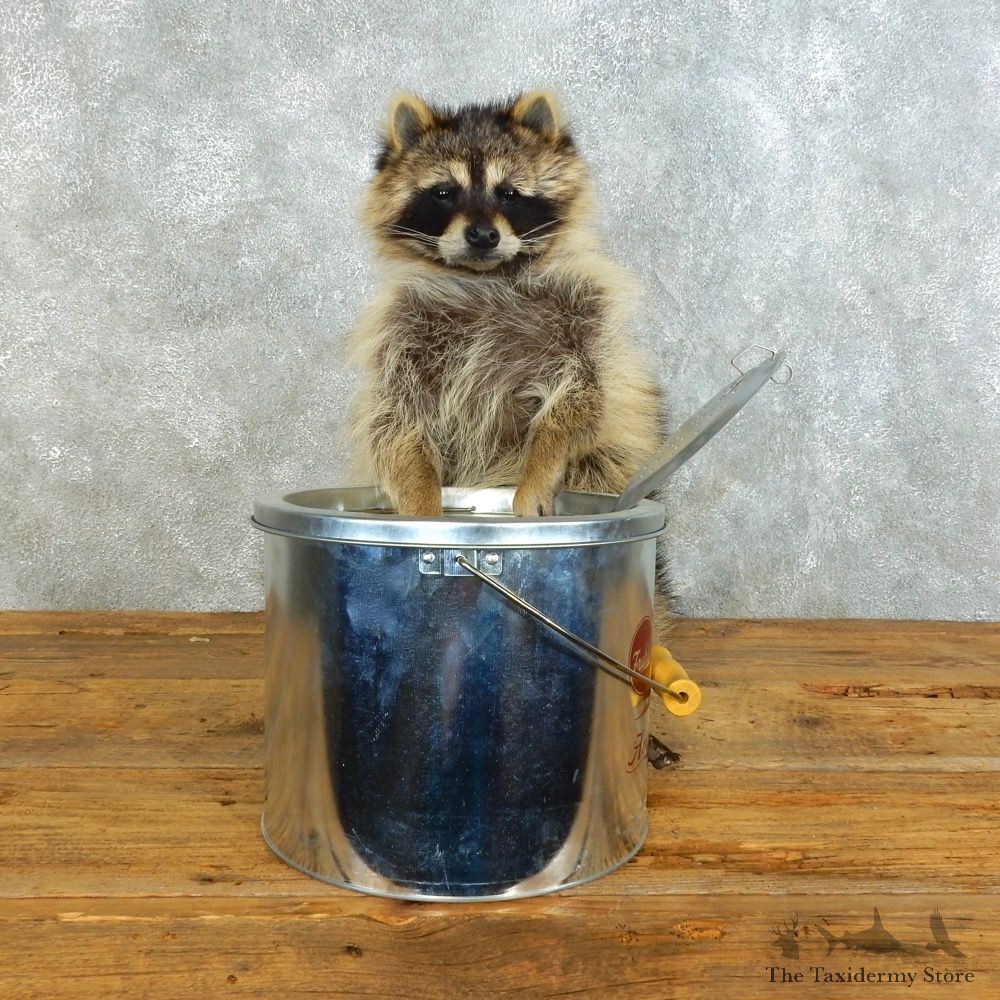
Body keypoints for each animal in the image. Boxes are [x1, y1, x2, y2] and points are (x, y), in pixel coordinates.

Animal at [348, 88, 665, 537]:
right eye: (444, 192)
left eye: (509, 193)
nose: (483, 235)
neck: (486, 277)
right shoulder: (401, 334)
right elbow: (396, 423)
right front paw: (420, 498)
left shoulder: (585, 314)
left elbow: (580, 398)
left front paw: (540, 465)